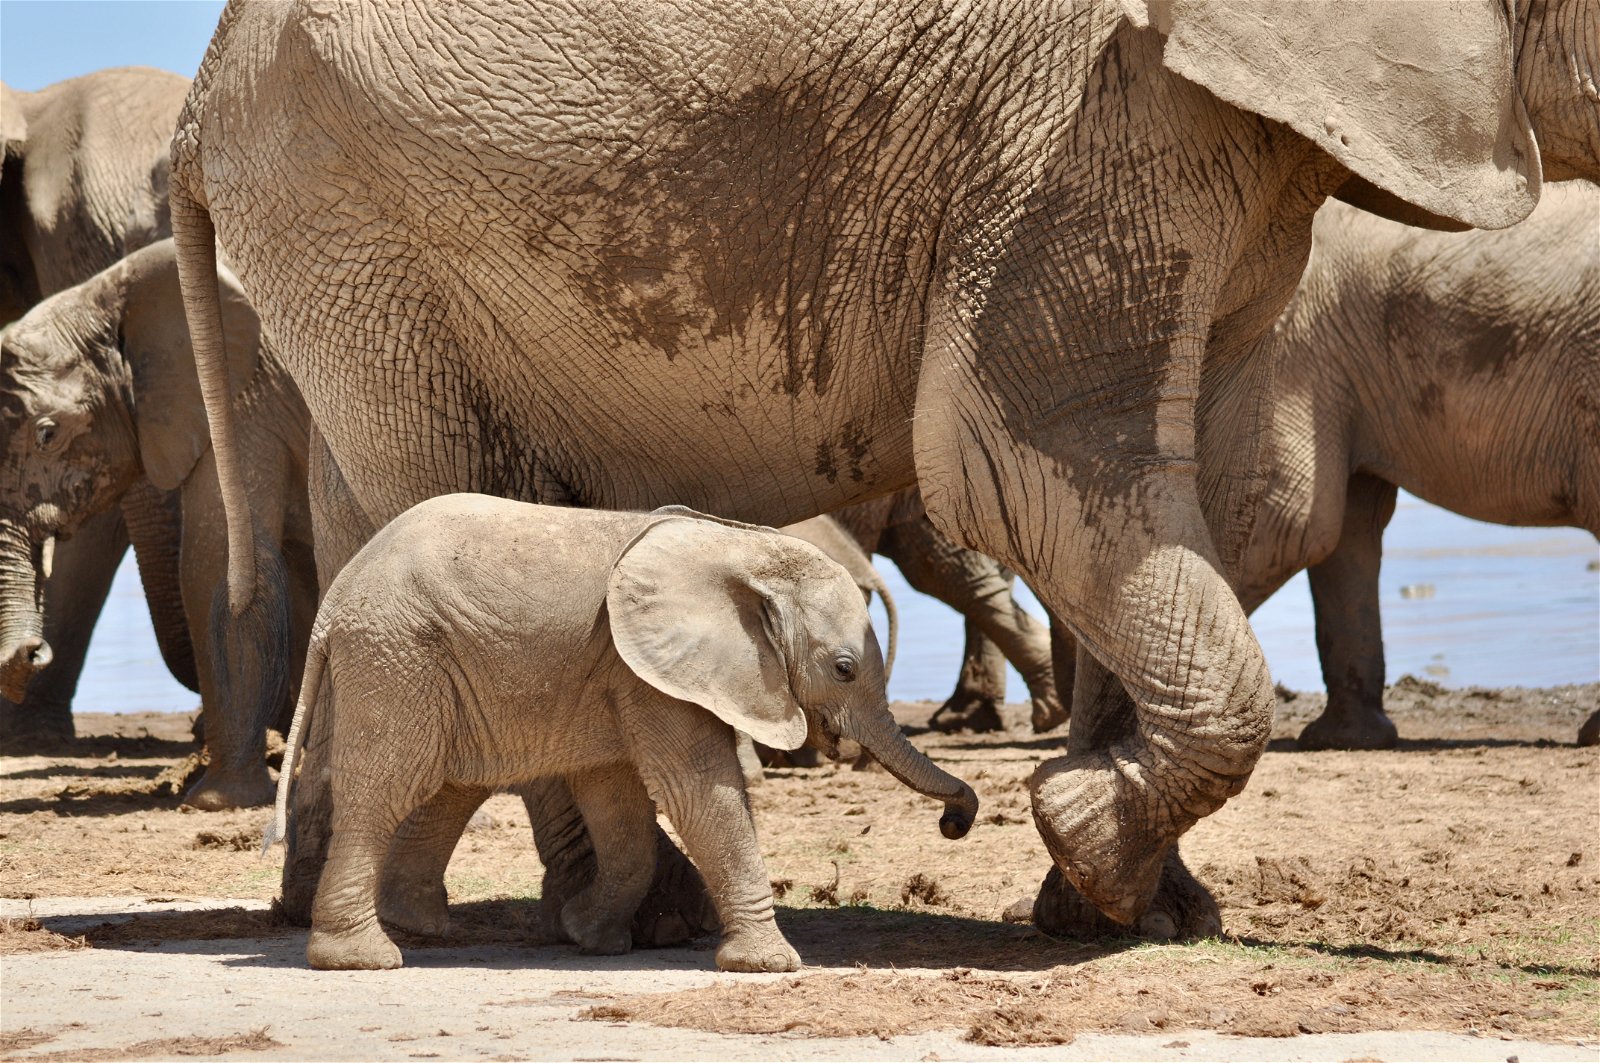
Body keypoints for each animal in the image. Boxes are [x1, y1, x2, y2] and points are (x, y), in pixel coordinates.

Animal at [0, 239, 317, 807]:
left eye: (47, 434)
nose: (33, 651)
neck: (106, 293)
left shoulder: (242, 395)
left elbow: (218, 558)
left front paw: (215, 802)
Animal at [267, 496, 978, 972]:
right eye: (844, 668)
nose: (955, 822)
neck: (740, 548)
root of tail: (333, 601)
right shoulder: (647, 668)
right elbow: (695, 787)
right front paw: (771, 965)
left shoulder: (622, 671)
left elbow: (618, 800)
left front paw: (590, 937)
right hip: (397, 653)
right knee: (392, 784)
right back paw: (363, 957)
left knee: (452, 784)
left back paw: (421, 927)